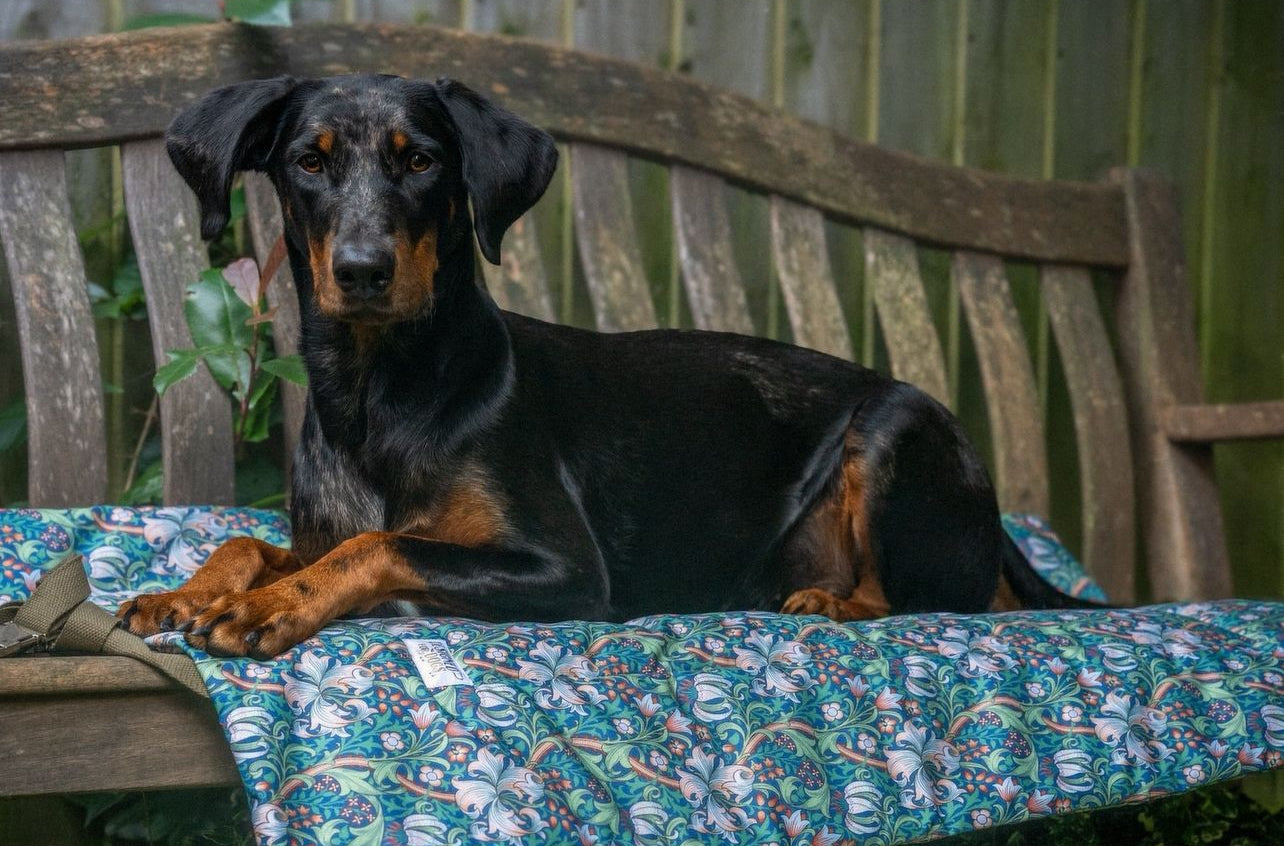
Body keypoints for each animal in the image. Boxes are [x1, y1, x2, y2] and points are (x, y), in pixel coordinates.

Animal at [118, 72, 1093, 657]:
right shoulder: (322, 526)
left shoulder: (564, 570)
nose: (361, 271)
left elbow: (379, 543)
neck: (381, 393)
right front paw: (186, 593)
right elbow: (254, 539)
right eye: (307, 162)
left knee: (933, 598)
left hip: (896, 426)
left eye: (422, 160)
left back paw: (833, 600)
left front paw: (269, 607)